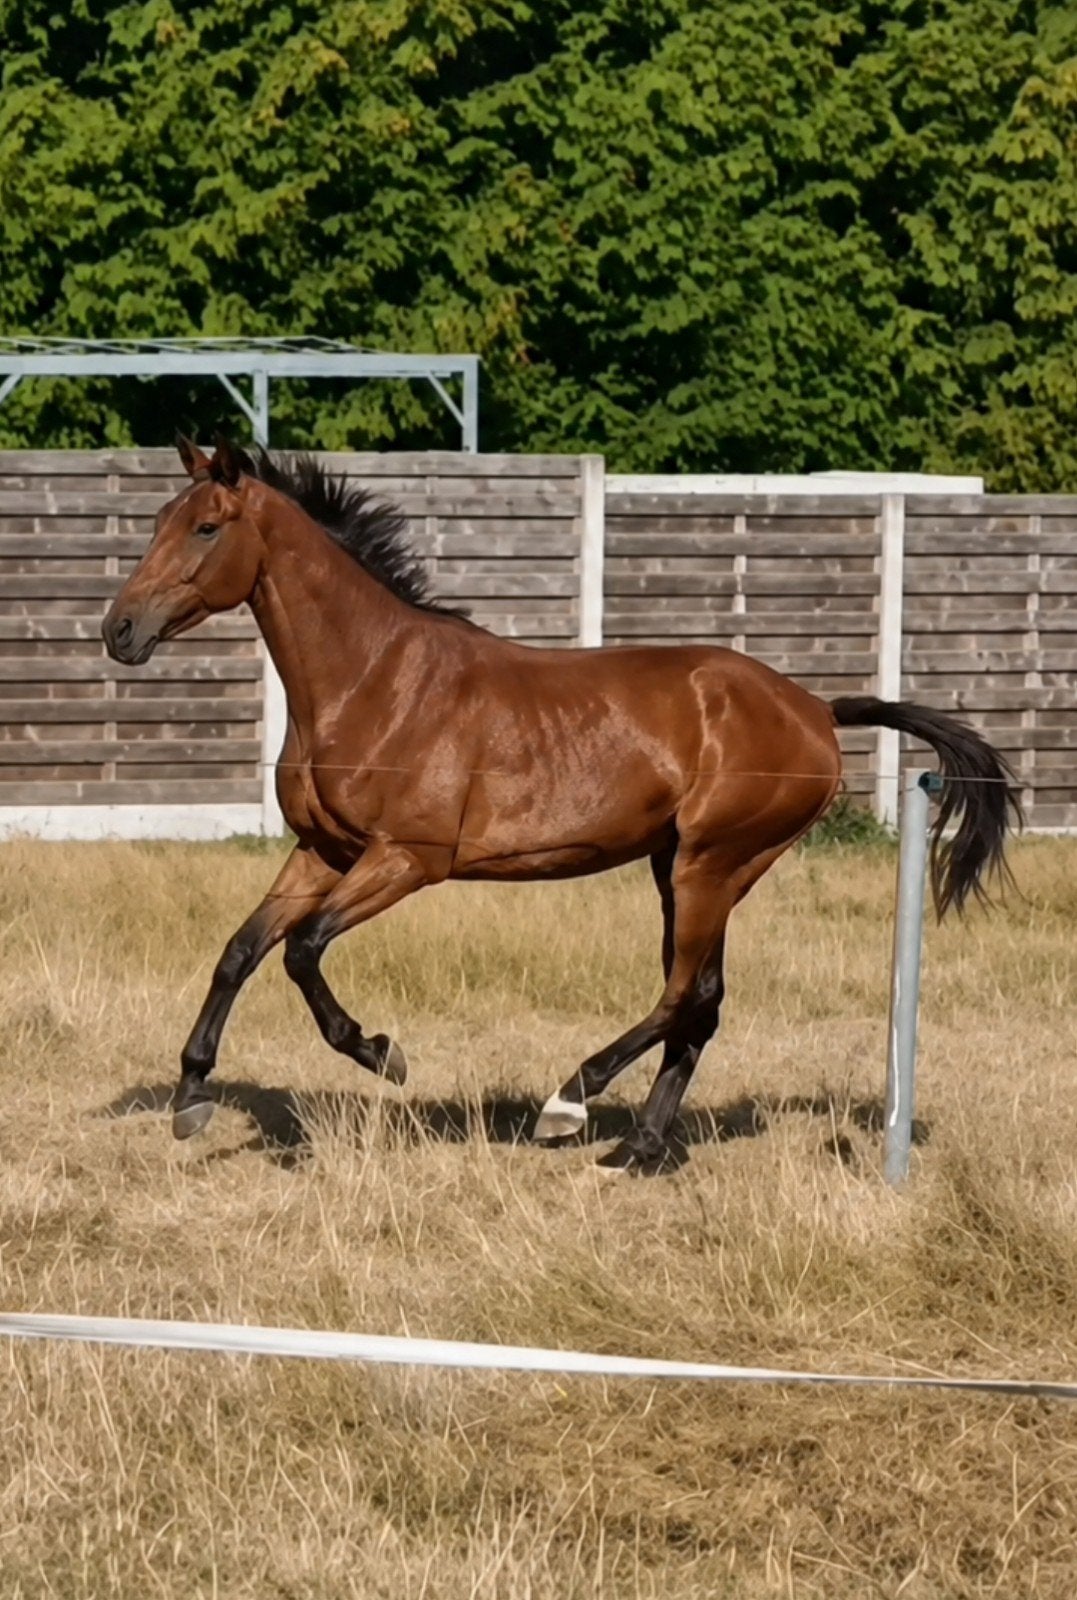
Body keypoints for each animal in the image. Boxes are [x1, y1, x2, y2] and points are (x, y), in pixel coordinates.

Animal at [101, 436, 1020, 1172]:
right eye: (157, 520)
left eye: (206, 528)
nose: (118, 630)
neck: (373, 681)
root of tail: (816, 711)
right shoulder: (322, 852)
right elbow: (240, 951)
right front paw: (190, 1098)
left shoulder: (406, 859)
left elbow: (302, 951)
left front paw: (381, 1053)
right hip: (684, 866)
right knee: (702, 1002)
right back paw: (639, 1148)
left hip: (710, 863)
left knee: (682, 996)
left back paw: (569, 1101)